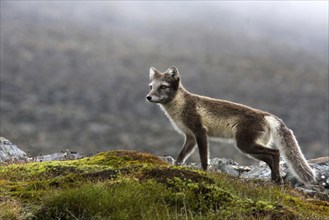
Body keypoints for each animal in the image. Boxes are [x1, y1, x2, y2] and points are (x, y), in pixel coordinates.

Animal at [147, 66, 316, 185]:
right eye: (151, 86)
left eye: (163, 86)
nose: (148, 97)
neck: (180, 106)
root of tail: (265, 115)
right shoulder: (190, 137)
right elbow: (181, 156)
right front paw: (174, 168)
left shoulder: (200, 132)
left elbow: (204, 158)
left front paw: (204, 173)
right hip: (250, 148)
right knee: (270, 157)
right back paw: (276, 179)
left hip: (245, 145)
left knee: (275, 152)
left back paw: (276, 178)